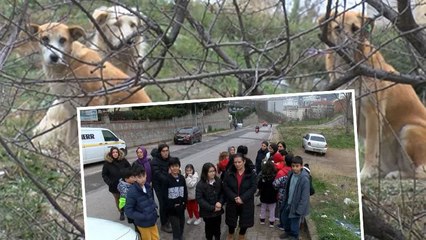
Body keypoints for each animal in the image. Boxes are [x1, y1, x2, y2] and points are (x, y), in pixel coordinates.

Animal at [318, 11, 426, 180]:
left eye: (355, 29)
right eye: (337, 28)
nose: (346, 47)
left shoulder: (373, 113)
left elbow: (369, 148)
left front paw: (365, 173)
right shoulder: (352, 113)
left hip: (408, 129)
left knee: (419, 173)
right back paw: (392, 173)